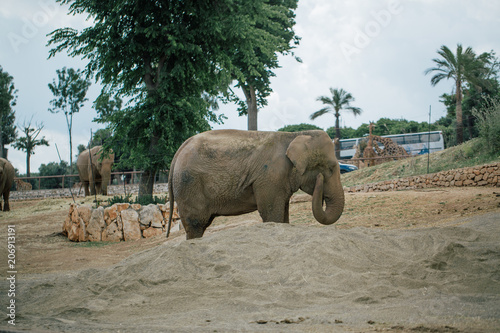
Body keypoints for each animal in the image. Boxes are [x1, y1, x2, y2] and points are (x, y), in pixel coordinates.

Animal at [168, 127, 344, 239]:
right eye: (330, 168)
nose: (320, 180)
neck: (295, 135)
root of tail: (179, 151)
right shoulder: (270, 177)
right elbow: (271, 214)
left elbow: (283, 214)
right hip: (189, 186)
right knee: (196, 224)